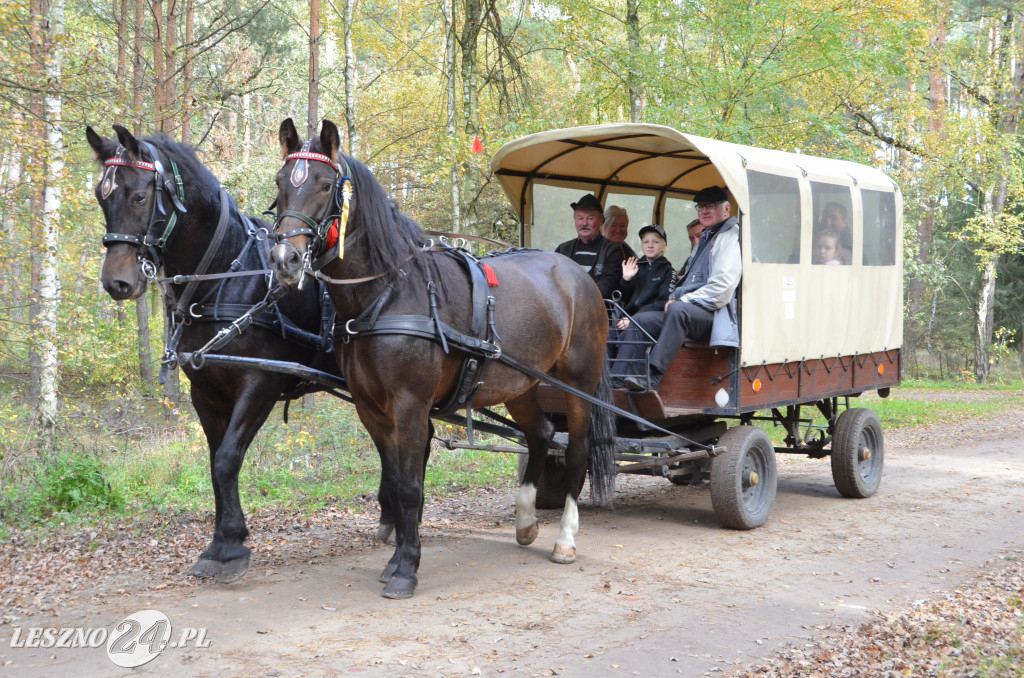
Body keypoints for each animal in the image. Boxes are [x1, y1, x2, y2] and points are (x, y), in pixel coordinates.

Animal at [87, 125, 395, 585]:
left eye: (139, 196)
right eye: (100, 195)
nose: (115, 282)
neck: (224, 278)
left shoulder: (259, 384)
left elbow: (228, 459)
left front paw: (231, 546)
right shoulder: (206, 392)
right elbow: (215, 463)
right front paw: (220, 543)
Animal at [266, 119, 614, 602]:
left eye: (324, 185)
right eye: (281, 183)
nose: (286, 259)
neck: (389, 293)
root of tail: (578, 275)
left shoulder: (411, 405)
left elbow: (411, 486)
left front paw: (406, 569)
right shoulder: (372, 409)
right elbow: (396, 482)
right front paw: (395, 559)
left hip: (578, 382)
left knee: (577, 450)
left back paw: (565, 538)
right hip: (520, 383)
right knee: (542, 434)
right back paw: (526, 521)